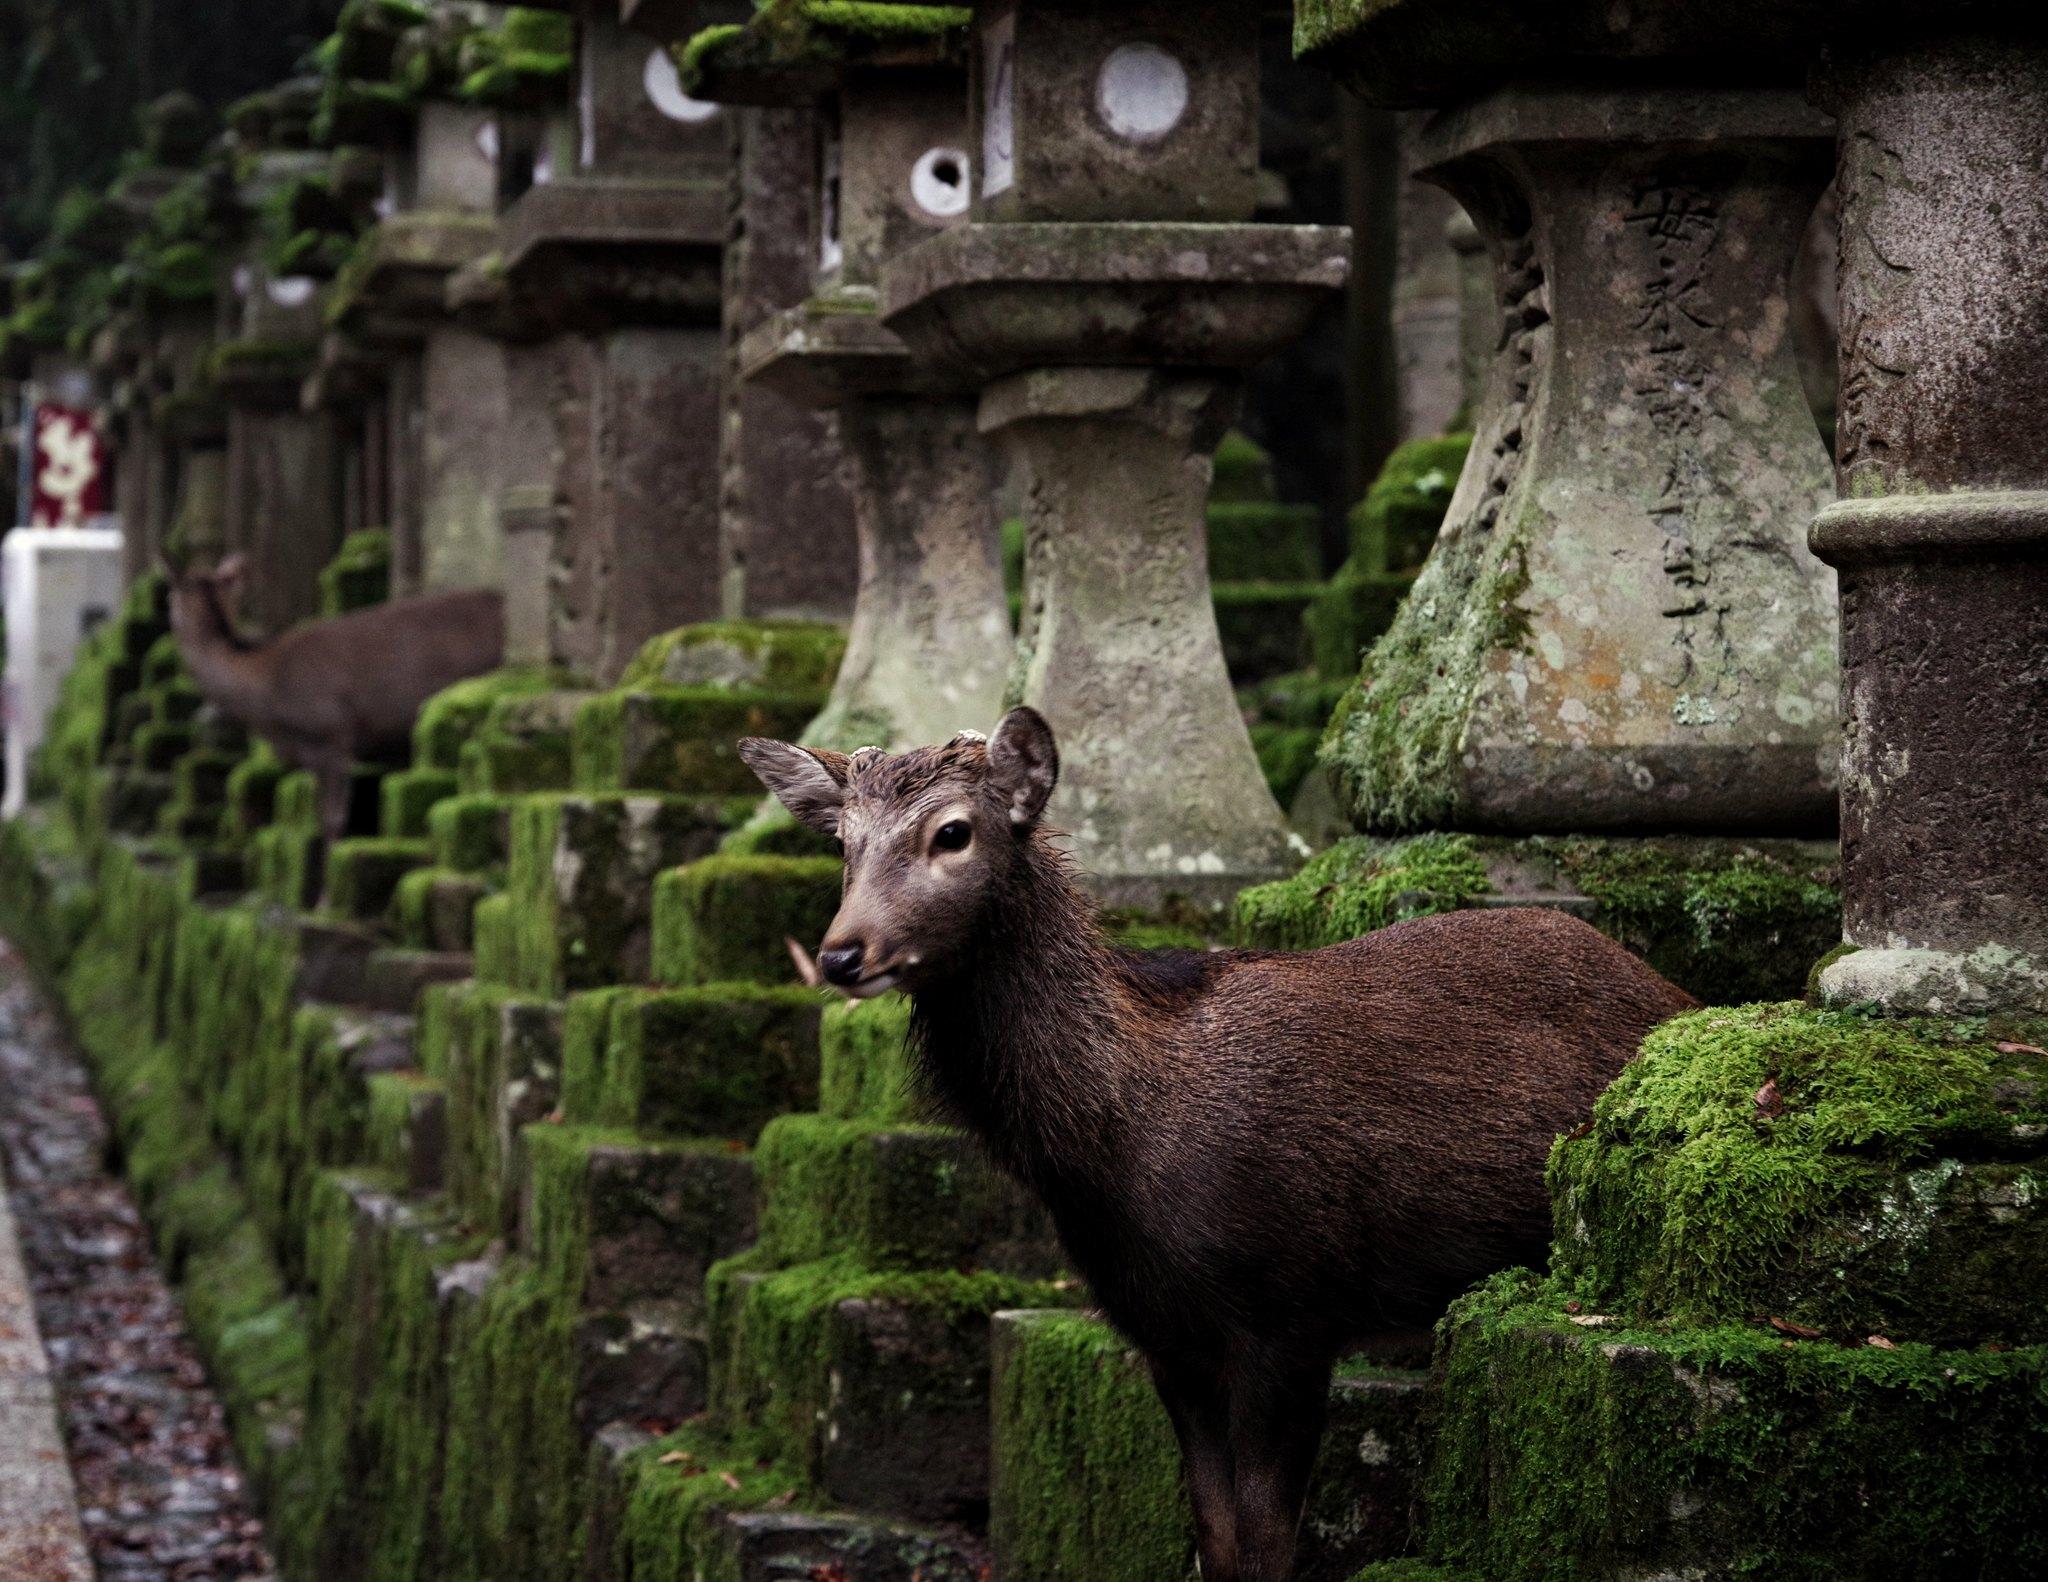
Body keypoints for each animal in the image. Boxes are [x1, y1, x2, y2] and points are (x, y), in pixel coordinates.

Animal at [737, 713, 1695, 1581]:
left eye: (952, 832)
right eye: (843, 842)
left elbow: (1268, 1548)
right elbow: (1218, 1541)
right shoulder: (1166, 1337)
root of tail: (1679, 994)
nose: (841, 954)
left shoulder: (1294, 1310)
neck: (1115, 1150)